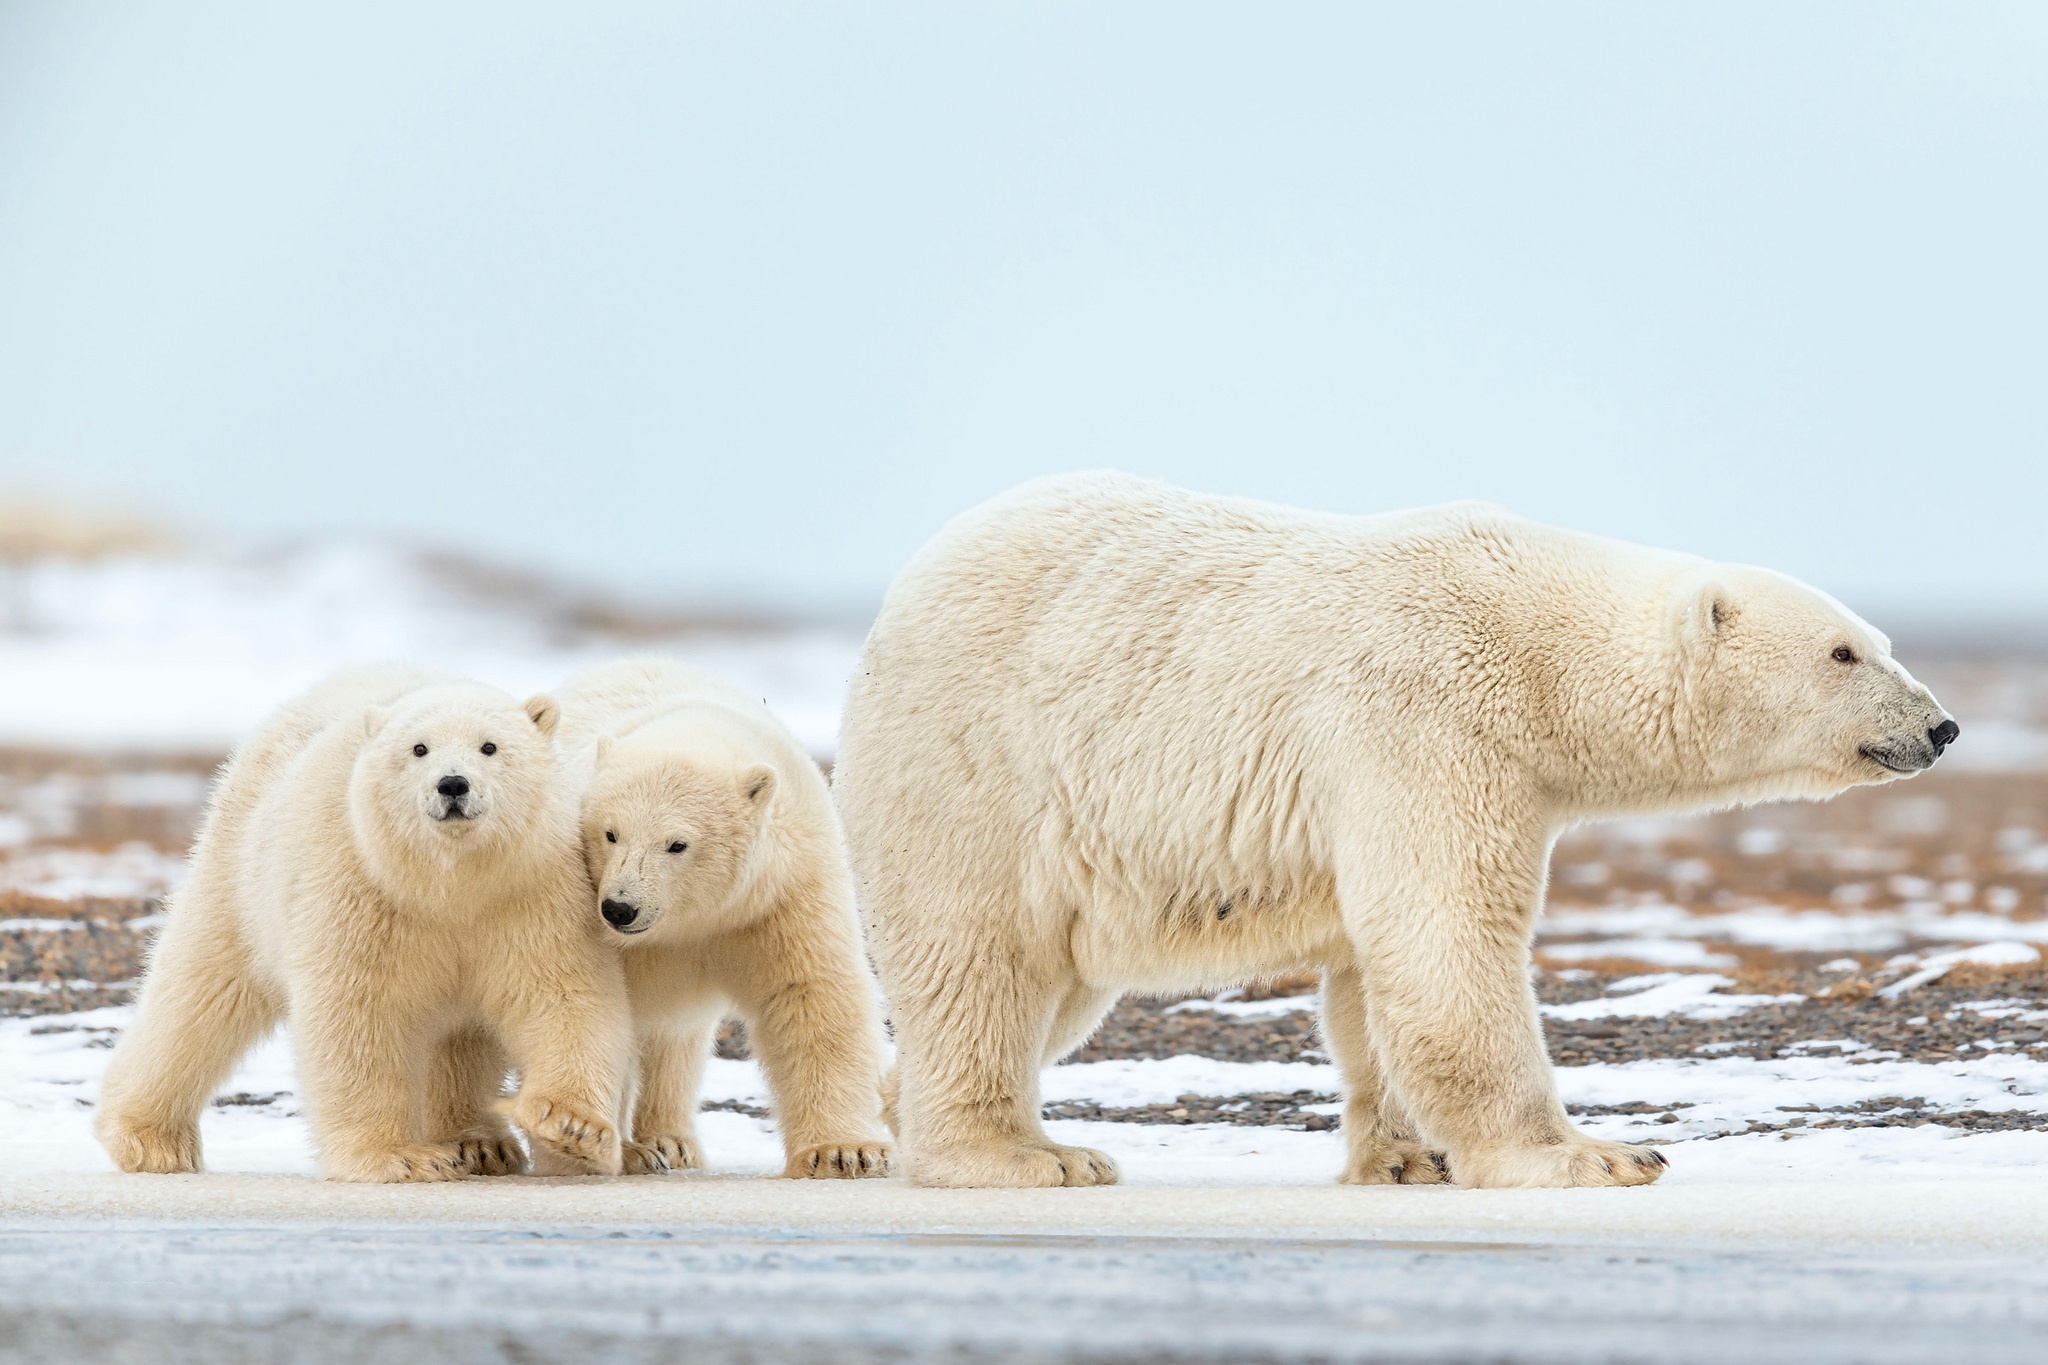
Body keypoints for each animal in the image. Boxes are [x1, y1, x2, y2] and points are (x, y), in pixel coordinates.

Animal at [839, 474, 1957, 1186]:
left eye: (1880, 641)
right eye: (1844, 651)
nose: (1940, 726)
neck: (1535, 647)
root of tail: (893, 605)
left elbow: (1369, 978)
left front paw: (1409, 1156)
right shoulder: (1426, 718)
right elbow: (1447, 940)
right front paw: (1597, 1153)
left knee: (1052, 991)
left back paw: (892, 1114)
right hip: (979, 769)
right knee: (981, 962)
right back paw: (1029, 1156)